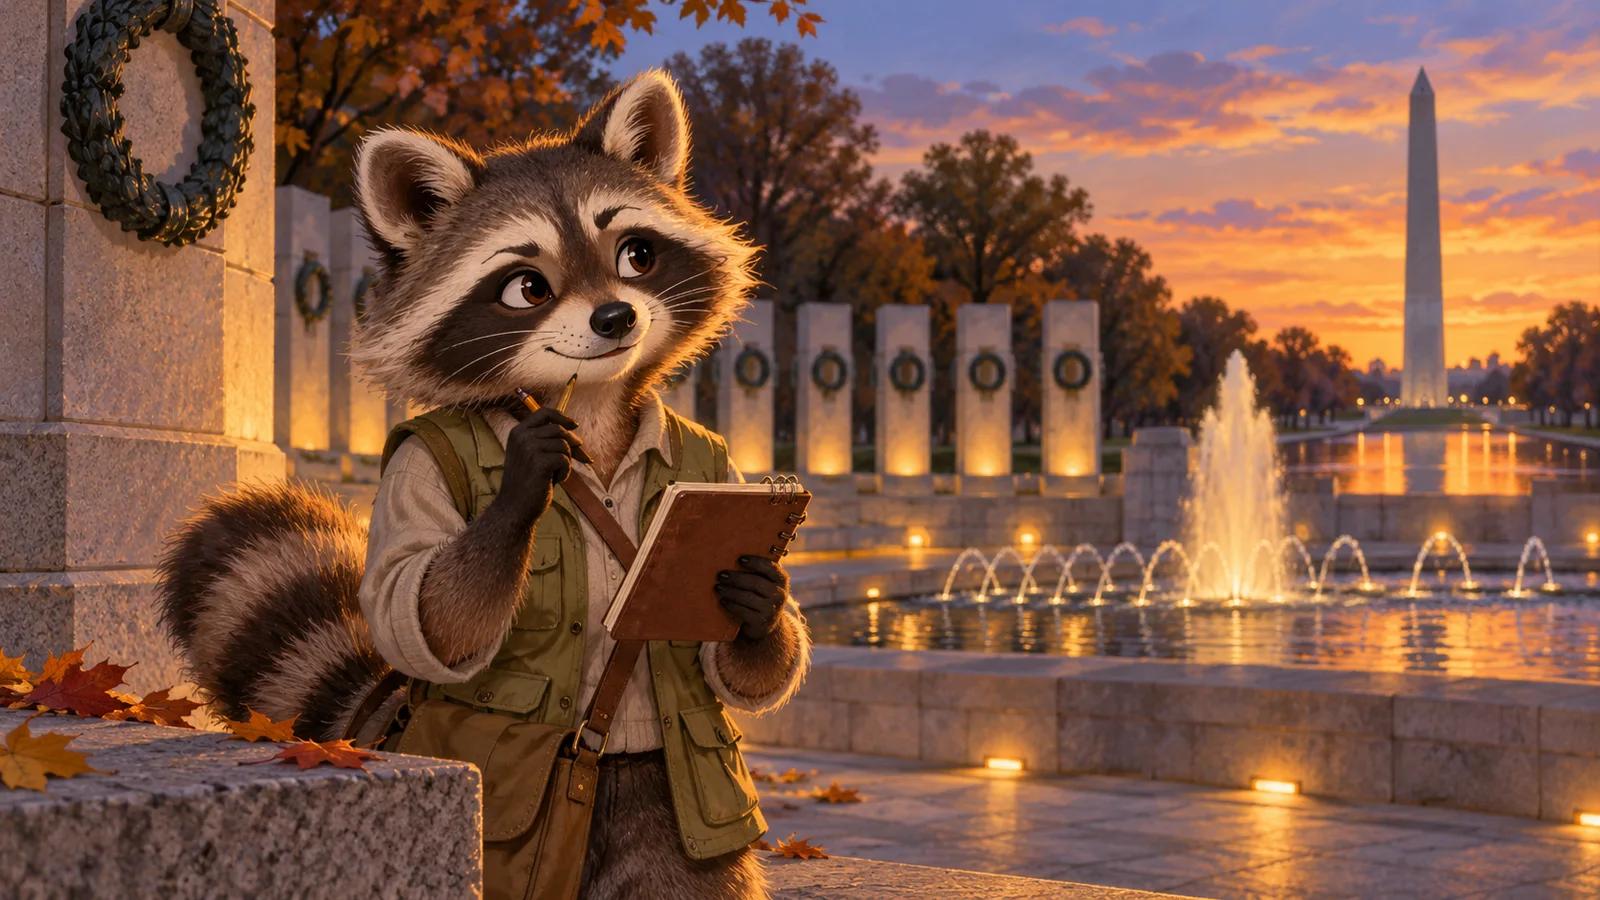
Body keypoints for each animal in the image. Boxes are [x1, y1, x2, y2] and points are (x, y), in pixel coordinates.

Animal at [158, 71, 801, 900]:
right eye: (527, 287)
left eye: (636, 254)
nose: (615, 317)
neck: (595, 414)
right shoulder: (418, 473)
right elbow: (423, 610)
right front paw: (526, 476)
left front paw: (758, 599)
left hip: (664, 822)